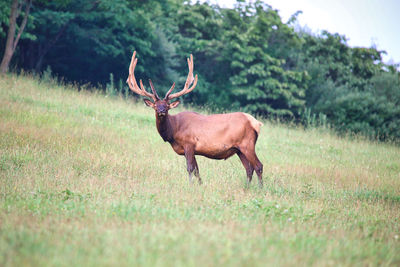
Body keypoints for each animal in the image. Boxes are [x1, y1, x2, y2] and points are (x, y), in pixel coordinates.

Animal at [126, 51, 264, 187]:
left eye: (167, 106)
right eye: (155, 106)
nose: (161, 111)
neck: (173, 131)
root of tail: (256, 123)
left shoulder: (189, 144)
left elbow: (190, 168)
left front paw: (190, 185)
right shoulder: (192, 150)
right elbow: (197, 170)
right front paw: (200, 185)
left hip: (247, 144)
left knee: (258, 166)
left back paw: (260, 188)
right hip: (239, 149)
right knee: (249, 169)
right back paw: (246, 187)